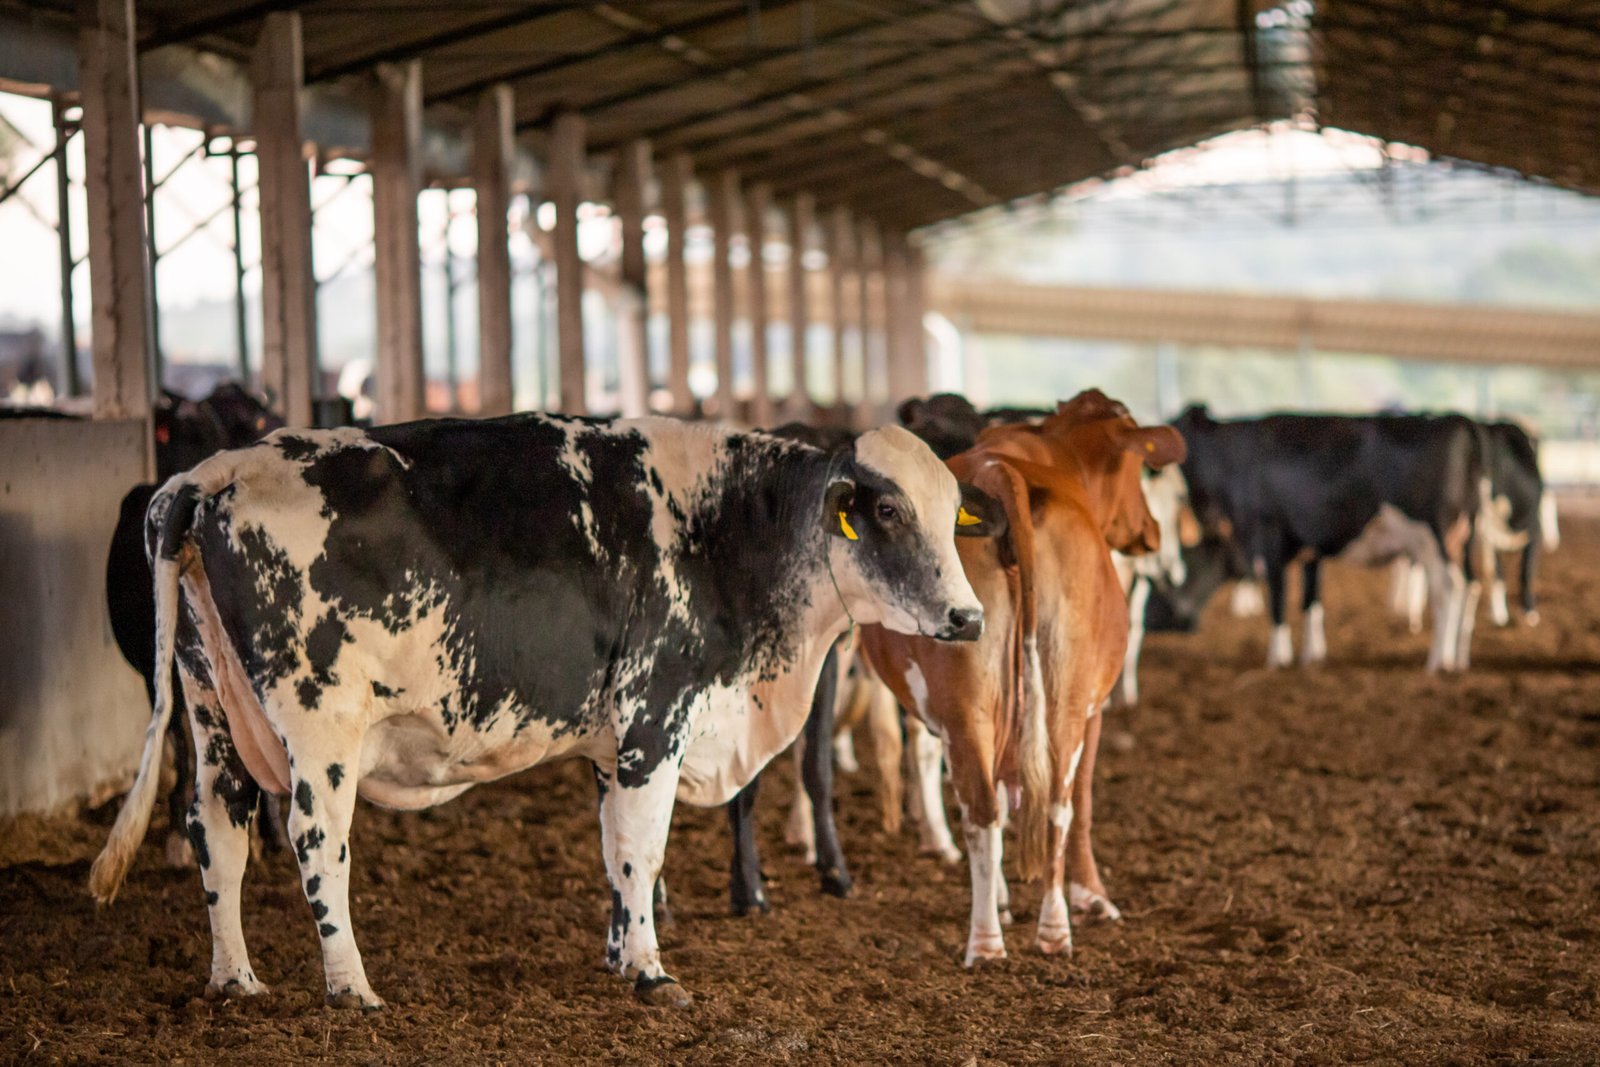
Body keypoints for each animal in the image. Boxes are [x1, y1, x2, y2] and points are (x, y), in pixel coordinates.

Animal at [90, 415, 985, 1011]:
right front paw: (653, 972)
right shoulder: (655, 716)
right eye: (890, 511)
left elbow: (614, 850)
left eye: (951, 514)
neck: (728, 529)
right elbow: (642, 850)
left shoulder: (611, 741)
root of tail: (208, 475)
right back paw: (351, 987)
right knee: (316, 840)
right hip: (319, 723)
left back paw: (236, 979)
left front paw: (621, 955)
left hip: (211, 708)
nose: (969, 617)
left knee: (217, 828)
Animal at [857, 395, 1184, 966]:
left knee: (999, 808)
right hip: (1062, 705)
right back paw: (1023, 933)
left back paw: (1010, 934)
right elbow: (1083, 805)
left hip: (974, 709)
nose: (1151, 531)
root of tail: (1001, 473)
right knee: (1048, 805)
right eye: (1134, 469)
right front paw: (1093, 896)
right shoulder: (1093, 710)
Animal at [1164, 404, 1484, 671]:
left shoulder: (1268, 533)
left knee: (1448, 588)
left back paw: (1438, 661)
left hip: (1434, 535)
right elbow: (1310, 600)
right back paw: (1460, 658)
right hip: (1464, 534)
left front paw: (1277, 659)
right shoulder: (1310, 547)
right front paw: (1312, 656)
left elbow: (1278, 598)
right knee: (1471, 585)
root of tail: (1455, 419)